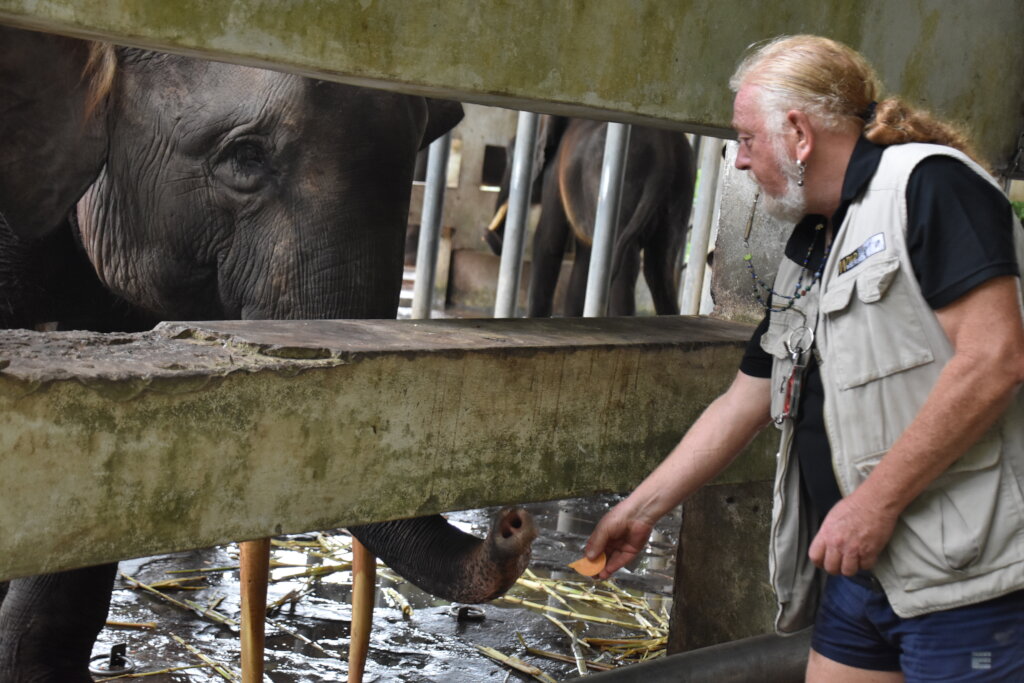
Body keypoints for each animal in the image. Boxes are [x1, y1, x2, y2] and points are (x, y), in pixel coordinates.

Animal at [486, 116, 696, 317]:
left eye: (510, 155)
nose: (490, 235)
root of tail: (664, 157)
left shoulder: (555, 171)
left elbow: (548, 240)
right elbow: (586, 256)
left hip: (627, 181)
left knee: (628, 266)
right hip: (681, 192)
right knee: (660, 267)